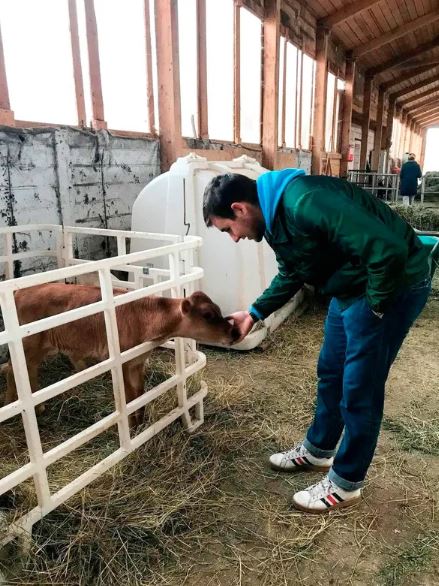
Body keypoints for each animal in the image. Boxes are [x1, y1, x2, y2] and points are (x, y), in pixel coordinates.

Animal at [3, 282, 239, 422]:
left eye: (218, 310)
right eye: (208, 315)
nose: (235, 332)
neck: (145, 319)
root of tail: (21, 290)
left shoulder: (138, 362)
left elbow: (140, 393)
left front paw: (141, 421)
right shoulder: (124, 363)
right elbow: (130, 396)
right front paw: (133, 425)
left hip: (42, 347)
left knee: (28, 371)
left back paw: (38, 407)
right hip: (30, 344)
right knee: (12, 370)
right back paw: (11, 404)